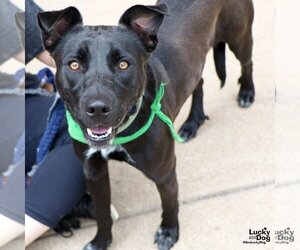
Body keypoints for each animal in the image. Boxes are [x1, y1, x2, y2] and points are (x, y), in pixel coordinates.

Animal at [37, 0, 253, 249]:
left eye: (123, 64)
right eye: (73, 65)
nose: (98, 109)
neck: (120, 133)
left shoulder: (164, 172)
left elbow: (169, 202)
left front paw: (169, 232)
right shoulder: (93, 171)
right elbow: (102, 213)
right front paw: (101, 241)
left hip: (239, 38)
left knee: (247, 63)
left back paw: (247, 92)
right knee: (198, 81)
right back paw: (192, 122)